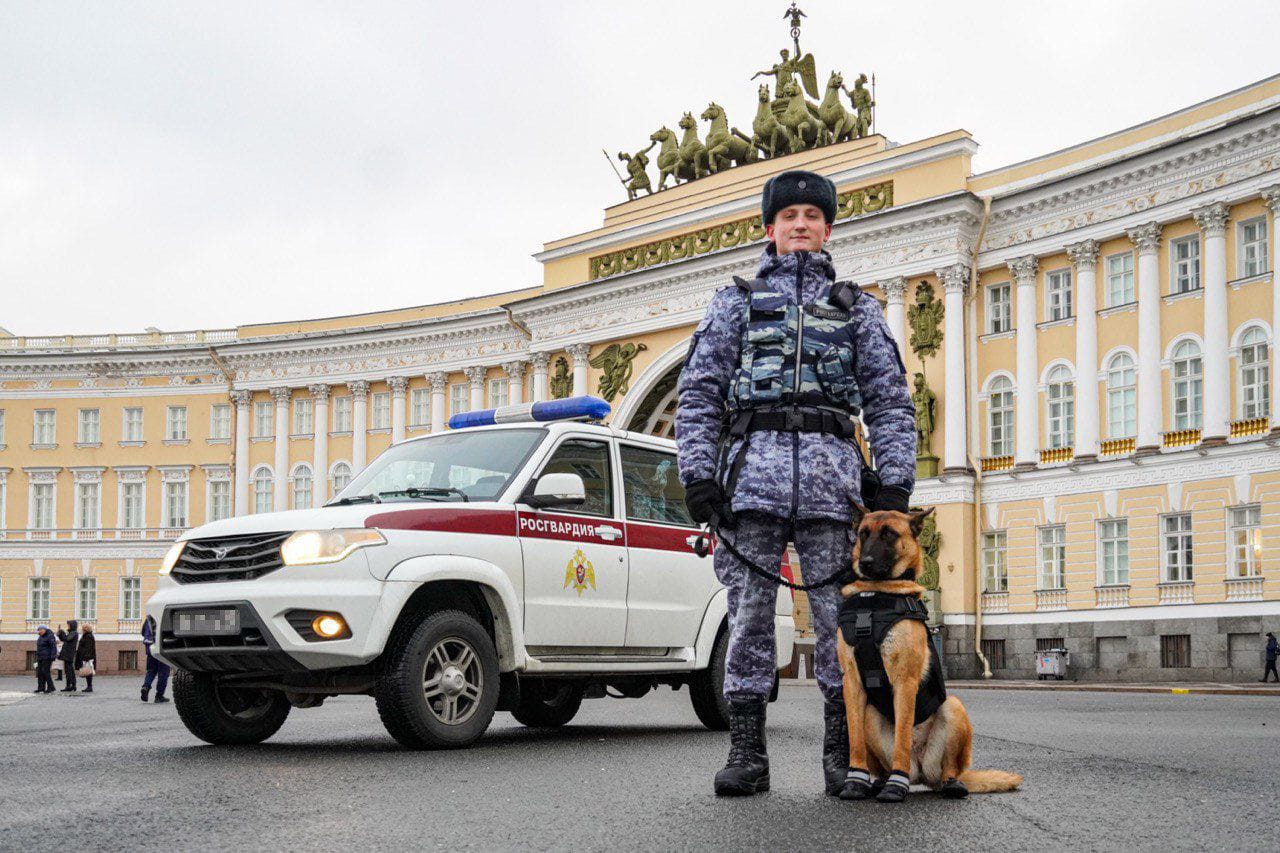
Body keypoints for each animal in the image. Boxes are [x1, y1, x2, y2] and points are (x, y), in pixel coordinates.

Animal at [834, 502, 1024, 799]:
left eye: (889, 534)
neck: (876, 596)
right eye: (863, 534)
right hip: (871, 714)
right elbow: (854, 740)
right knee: (882, 759)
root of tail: (921, 772)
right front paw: (855, 780)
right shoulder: (851, 683)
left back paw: (944, 783)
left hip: (953, 707)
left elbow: (902, 735)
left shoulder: (905, 682)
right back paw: (880, 781)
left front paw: (896, 785)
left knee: (948, 770)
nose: (865, 563)